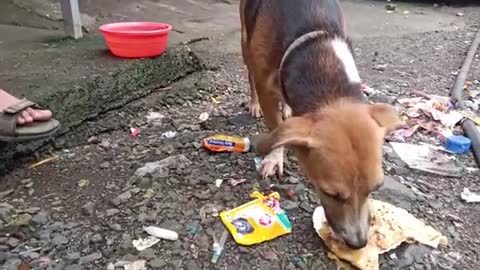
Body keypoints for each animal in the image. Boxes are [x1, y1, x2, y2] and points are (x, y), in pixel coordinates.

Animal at [242, 0, 404, 249]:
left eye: (376, 188)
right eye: (331, 194)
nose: (358, 244)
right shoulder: (264, 84)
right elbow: (273, 127)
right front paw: (274, 157)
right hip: (245, 42)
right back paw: (254, 104)